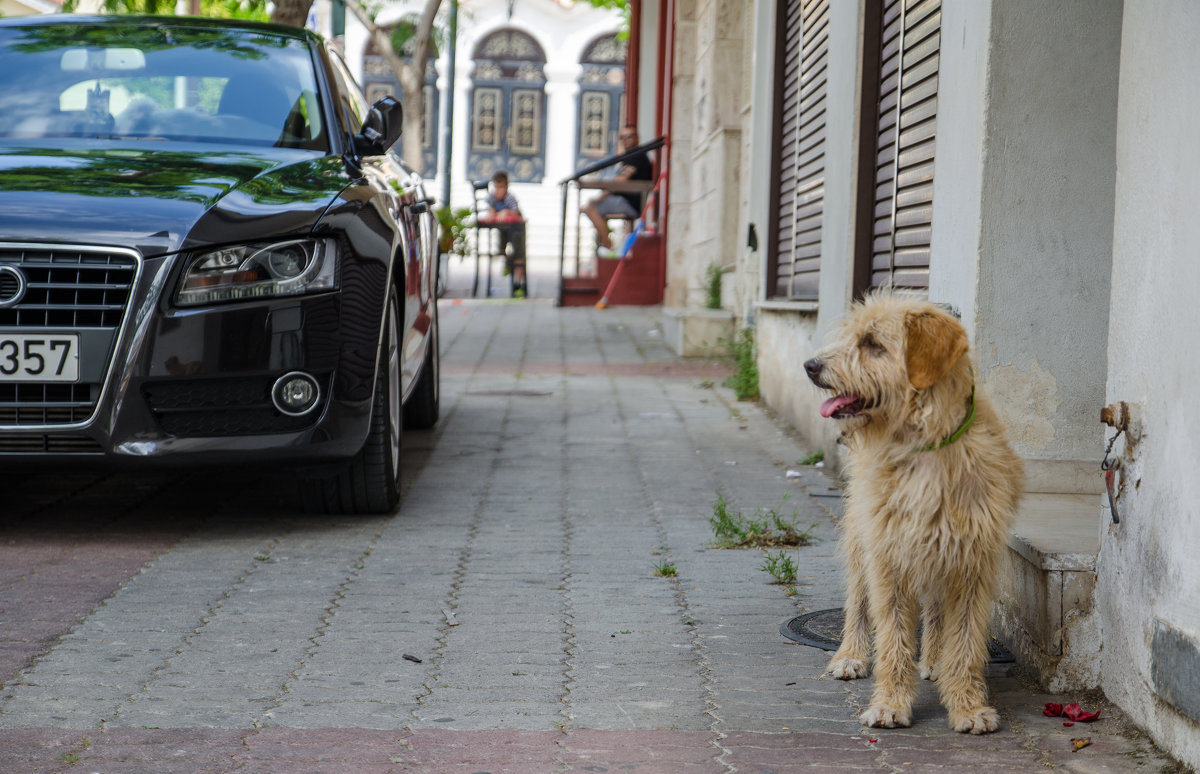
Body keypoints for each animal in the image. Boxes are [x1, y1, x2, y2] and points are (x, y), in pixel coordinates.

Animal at [806, 290, 1022, 729]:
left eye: (872, 343)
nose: (810, 366)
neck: (924, 445)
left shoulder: (972, 560)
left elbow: (966, 642)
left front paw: (967, 704)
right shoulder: (889, 557)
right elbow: (892, 639)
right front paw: (890, 702)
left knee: (937, 611)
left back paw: (935, 660)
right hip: (861, 539)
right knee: (857, 602)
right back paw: (851, 655)